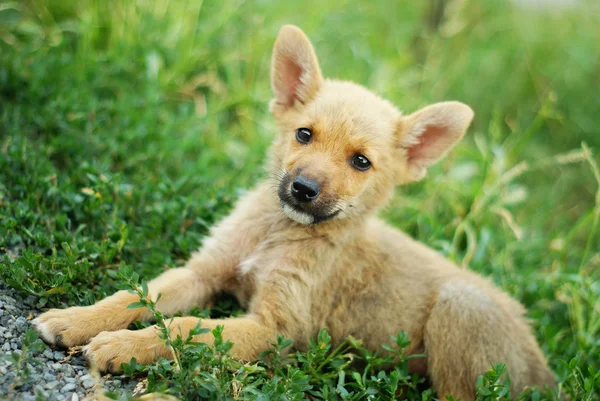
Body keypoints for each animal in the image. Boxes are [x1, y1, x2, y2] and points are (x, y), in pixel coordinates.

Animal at [31, 25, 552, 400]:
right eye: (304, 134)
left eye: (361, 162)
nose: (303, 189)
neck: (275, 234)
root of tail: (545, 373)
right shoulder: (203, 272)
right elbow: (133, 296)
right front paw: (74, 320)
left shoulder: (275, 328)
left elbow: (183, 329)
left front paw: (122, 346)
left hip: (461, 305)